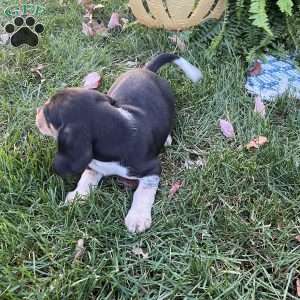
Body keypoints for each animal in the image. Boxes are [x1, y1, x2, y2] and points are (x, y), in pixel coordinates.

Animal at [36, 53, 203, 232]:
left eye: (47, 113)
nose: (37, 112)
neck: (118, 132)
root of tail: (146, 70)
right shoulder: (92, 163)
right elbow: (86, 177)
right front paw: (78, 196)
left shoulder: (153, 169)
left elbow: (144, 192)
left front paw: (137, 218)